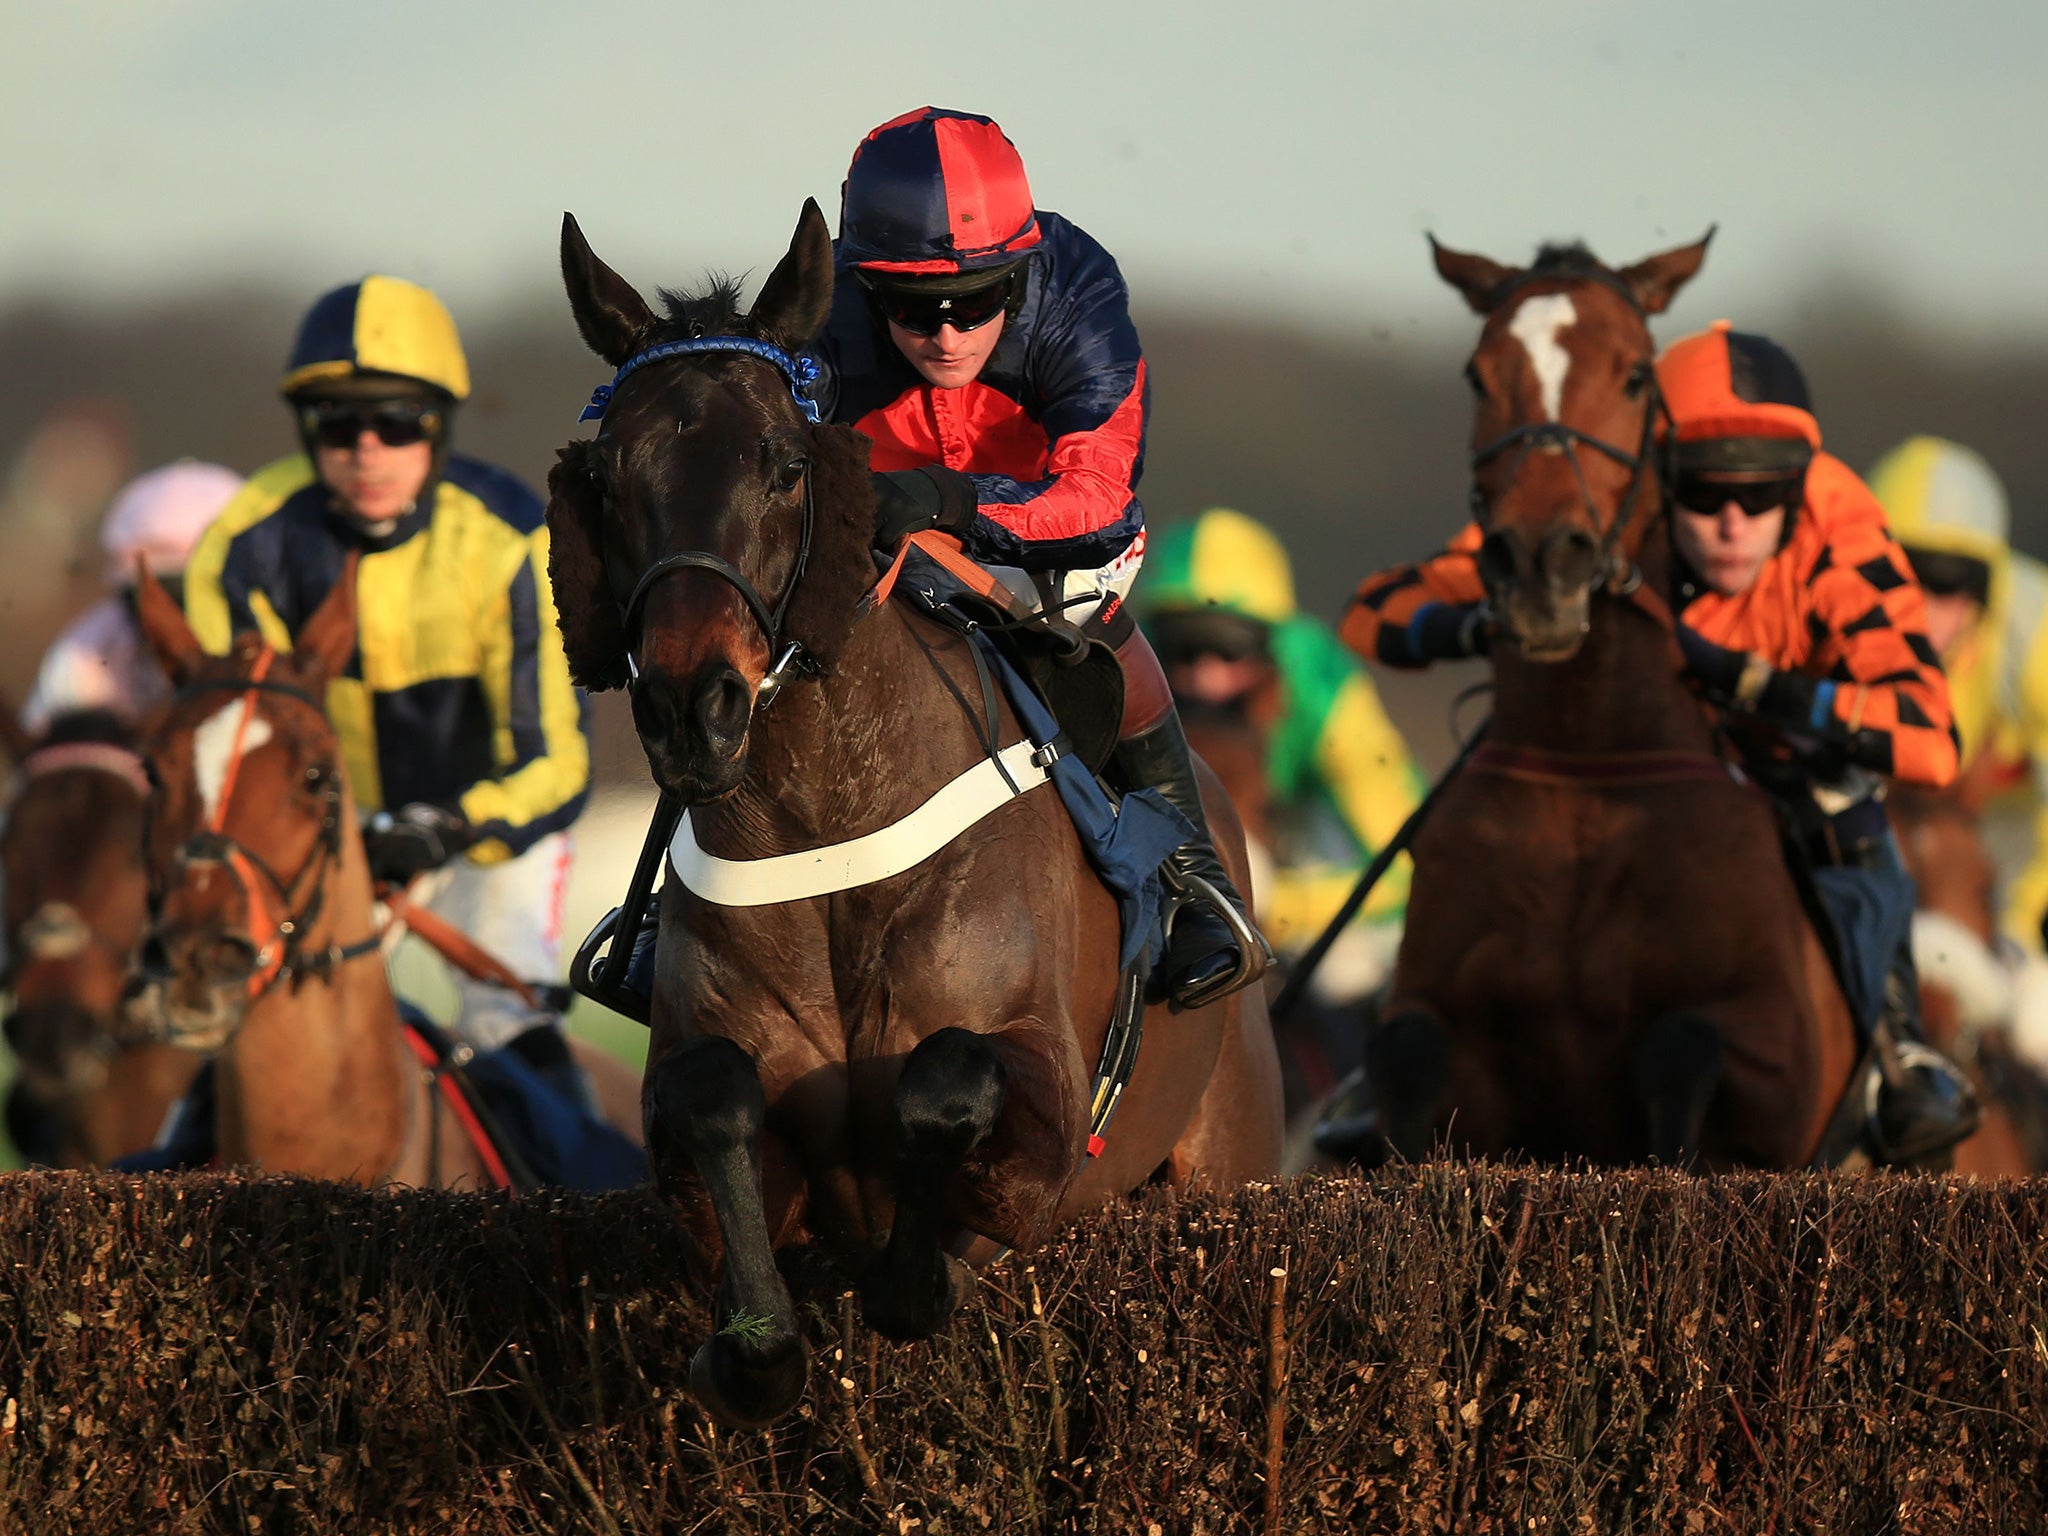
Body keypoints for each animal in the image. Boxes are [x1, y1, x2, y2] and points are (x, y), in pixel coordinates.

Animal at [544, 201, 1277, 1433]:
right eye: (604, 474)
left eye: (786, 464)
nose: (692, 707)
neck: (825, 836)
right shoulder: (692, 1109)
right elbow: (708, 1095)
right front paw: (749, 1349)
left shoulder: (1048, 1123)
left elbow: (949, 1084)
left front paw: (911, 1274)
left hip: (1228, 1156)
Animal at [1368, 240, 1867, 1171]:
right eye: (1478, 373)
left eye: (1635, 374)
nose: (1540, 564)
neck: (1585, 763)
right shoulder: (1447, 1025)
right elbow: (1406, 1054)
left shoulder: (1783, 1067)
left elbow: (1683, 1045)